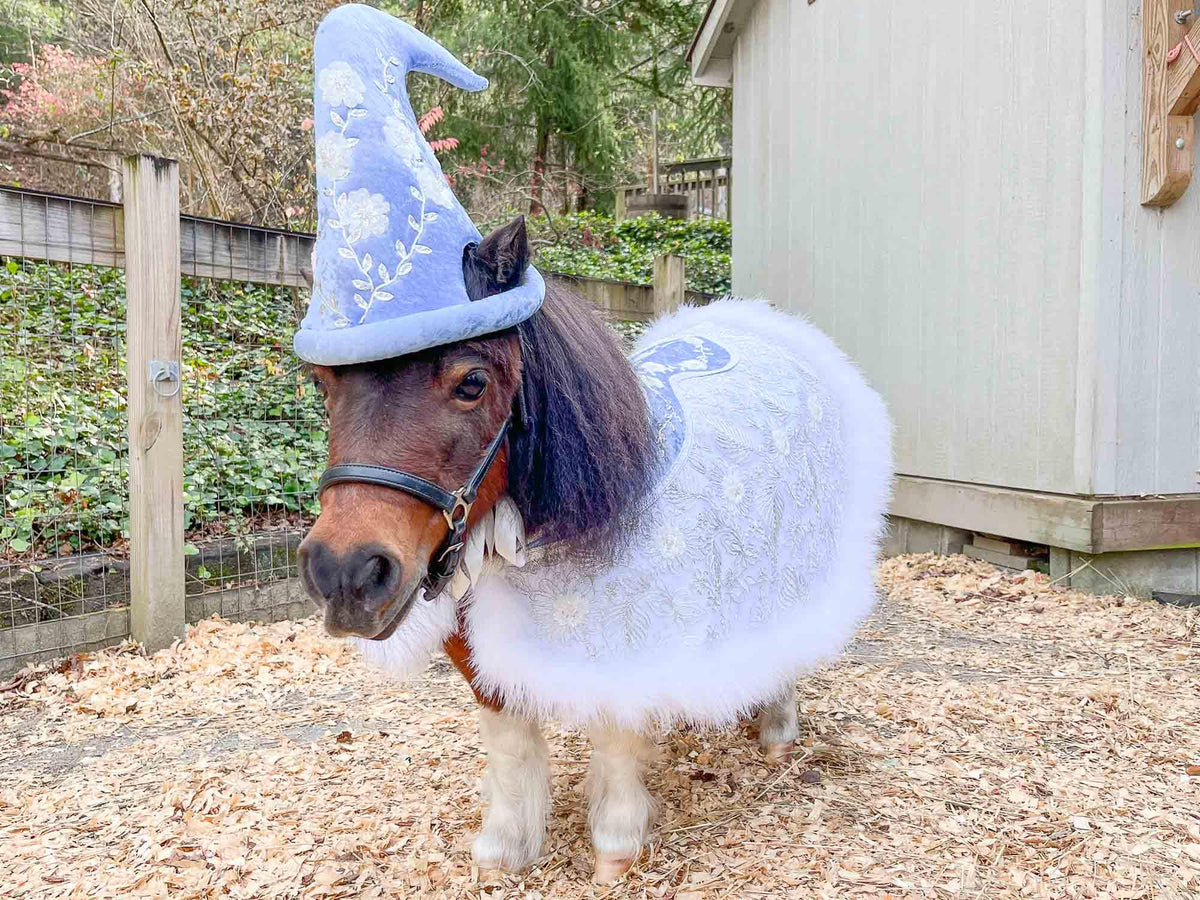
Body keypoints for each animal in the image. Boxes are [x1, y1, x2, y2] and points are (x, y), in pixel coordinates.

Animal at [298, 216, 892, 881]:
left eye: (472, 382)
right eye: (323, 383)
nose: (345, 572)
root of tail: (769, 327)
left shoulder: (623, 645)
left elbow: (615, 738)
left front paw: (617, 844)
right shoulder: (482, 657)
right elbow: (511, 746)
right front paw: (503, 850)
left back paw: (778, 734)